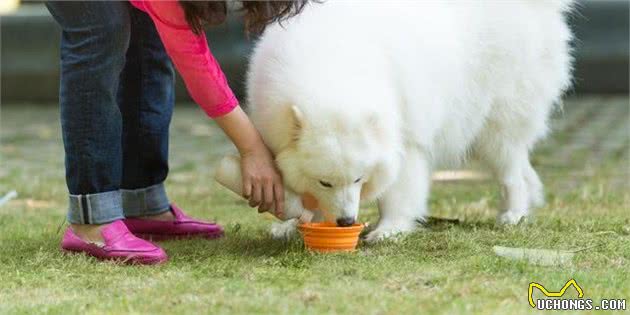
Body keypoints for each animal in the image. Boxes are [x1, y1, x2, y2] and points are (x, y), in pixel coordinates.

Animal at [247, 0, 576, 243]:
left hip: (497, 121)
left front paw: (389, 229)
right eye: (325, 182)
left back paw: (513, 214)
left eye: (359, 179)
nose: (346, 221)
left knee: (511, 171)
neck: (331, 68)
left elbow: (399, 190)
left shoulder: (404, 137)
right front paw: (294, 225)